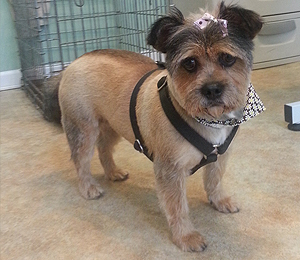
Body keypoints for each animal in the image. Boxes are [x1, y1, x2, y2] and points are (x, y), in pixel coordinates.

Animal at [55, 1, 262, 251]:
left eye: (227, 58)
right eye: (190, 63)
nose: (212, 89)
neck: (206, 119)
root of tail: (76, 60)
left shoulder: (220, 156)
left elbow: (214, 181)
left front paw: (219, 200)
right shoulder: (170, 170)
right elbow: (178, 207)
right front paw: (186, 236)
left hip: (113, 125)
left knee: (104, 149)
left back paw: (113, 172)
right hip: (83, 130)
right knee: (81, 161)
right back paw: (88, 187)